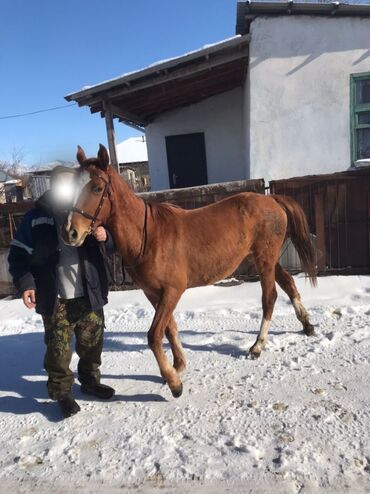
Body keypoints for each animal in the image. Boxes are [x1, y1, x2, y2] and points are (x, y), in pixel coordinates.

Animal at [62, 144, 316, 398]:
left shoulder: (173, 291)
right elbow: (170, 329)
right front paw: (178, 365)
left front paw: (174, 382)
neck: (149, 236)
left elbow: (154, 335)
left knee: (269, 297)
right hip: (265, 259)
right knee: (288, 282)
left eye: (97, 188)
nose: (70, 232)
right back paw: (307, 325)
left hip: (265, 259)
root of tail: (271, 199)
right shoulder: (153, 293)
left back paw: (257, 346)